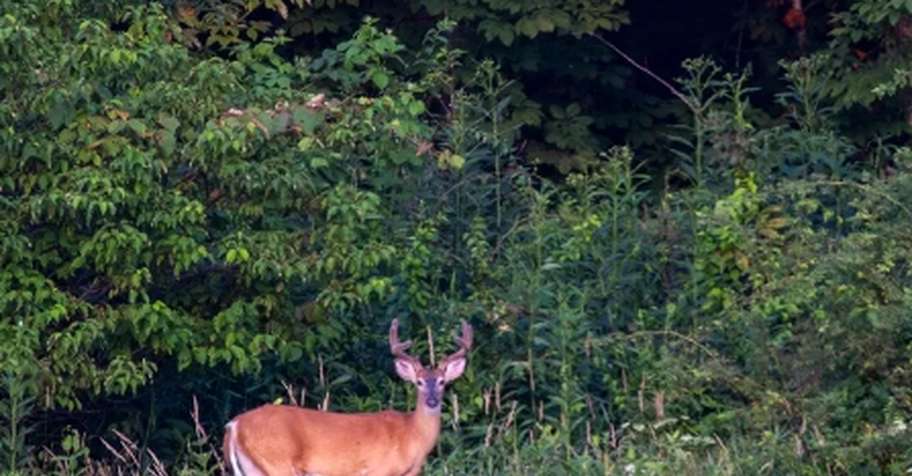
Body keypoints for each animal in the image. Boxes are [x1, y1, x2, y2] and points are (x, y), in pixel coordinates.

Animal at [223, 319, 473, 476]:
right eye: (419, 382)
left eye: (442, 382)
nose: (432, 401)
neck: (411, 435)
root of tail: (235, 425)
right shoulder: (379, 470)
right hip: (277, 463)